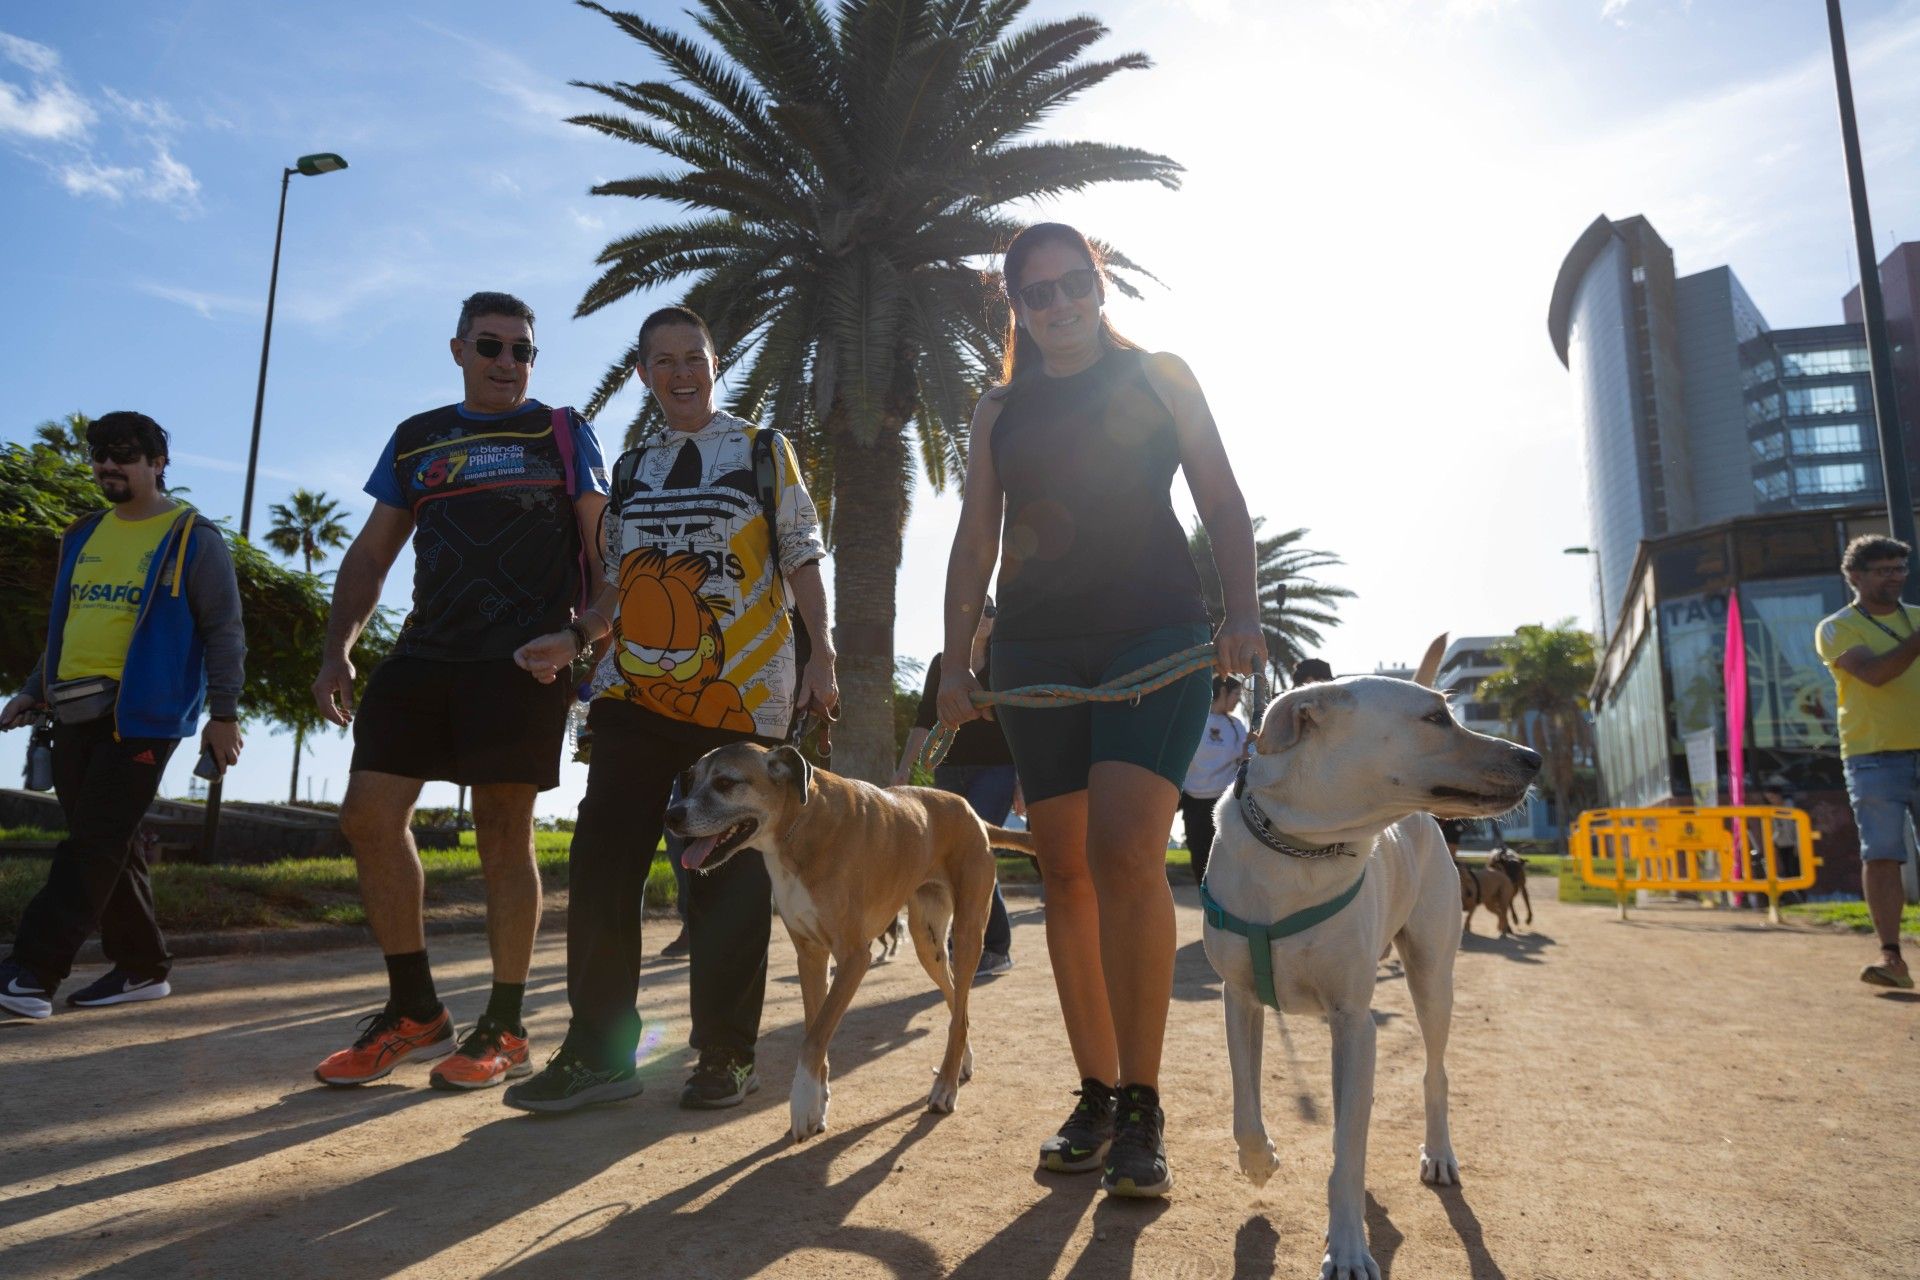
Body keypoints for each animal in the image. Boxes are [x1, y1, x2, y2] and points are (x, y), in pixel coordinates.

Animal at [664, 740, 1036, 1143]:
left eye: (725, 783)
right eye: (691, 780)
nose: (671, 816)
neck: (799, 825)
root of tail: (974, 815)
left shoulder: (854, 957)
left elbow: (813, 1037)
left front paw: (803, 1103)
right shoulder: (810, 956)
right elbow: (815, 1026)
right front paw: (818, 1101)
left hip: (968, 935)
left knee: (961, 1003)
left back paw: (946, 1086)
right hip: (928, 943)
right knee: (958, 1005)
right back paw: (961, 1061)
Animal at [1205, 675, 1536, 1274]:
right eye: (1435, 718)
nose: (1535, 758)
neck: (1301, 849)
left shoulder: (1355, 1020)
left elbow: (1347, 1154)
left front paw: (1348, 1248)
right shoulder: (1238, 997)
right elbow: (1245, 1103)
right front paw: (1259, 1161)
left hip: (1432, 978)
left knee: (1433, 1074)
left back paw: (1439, 1153)